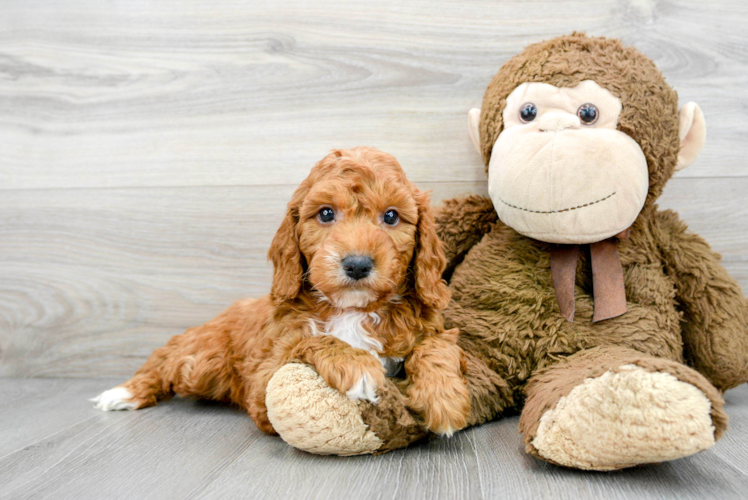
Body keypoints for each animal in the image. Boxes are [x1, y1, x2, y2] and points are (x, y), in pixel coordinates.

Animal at [92, 146, 468, 436]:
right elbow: (313, 339)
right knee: (166, 359)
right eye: (326, 213)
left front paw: (443, 396)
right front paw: (359, 367)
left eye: (391, 217)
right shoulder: (264, 379)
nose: (358, 265)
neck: (350, 309)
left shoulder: (428, 327)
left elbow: (436, 346)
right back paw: (124, 392)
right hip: (202, 360)